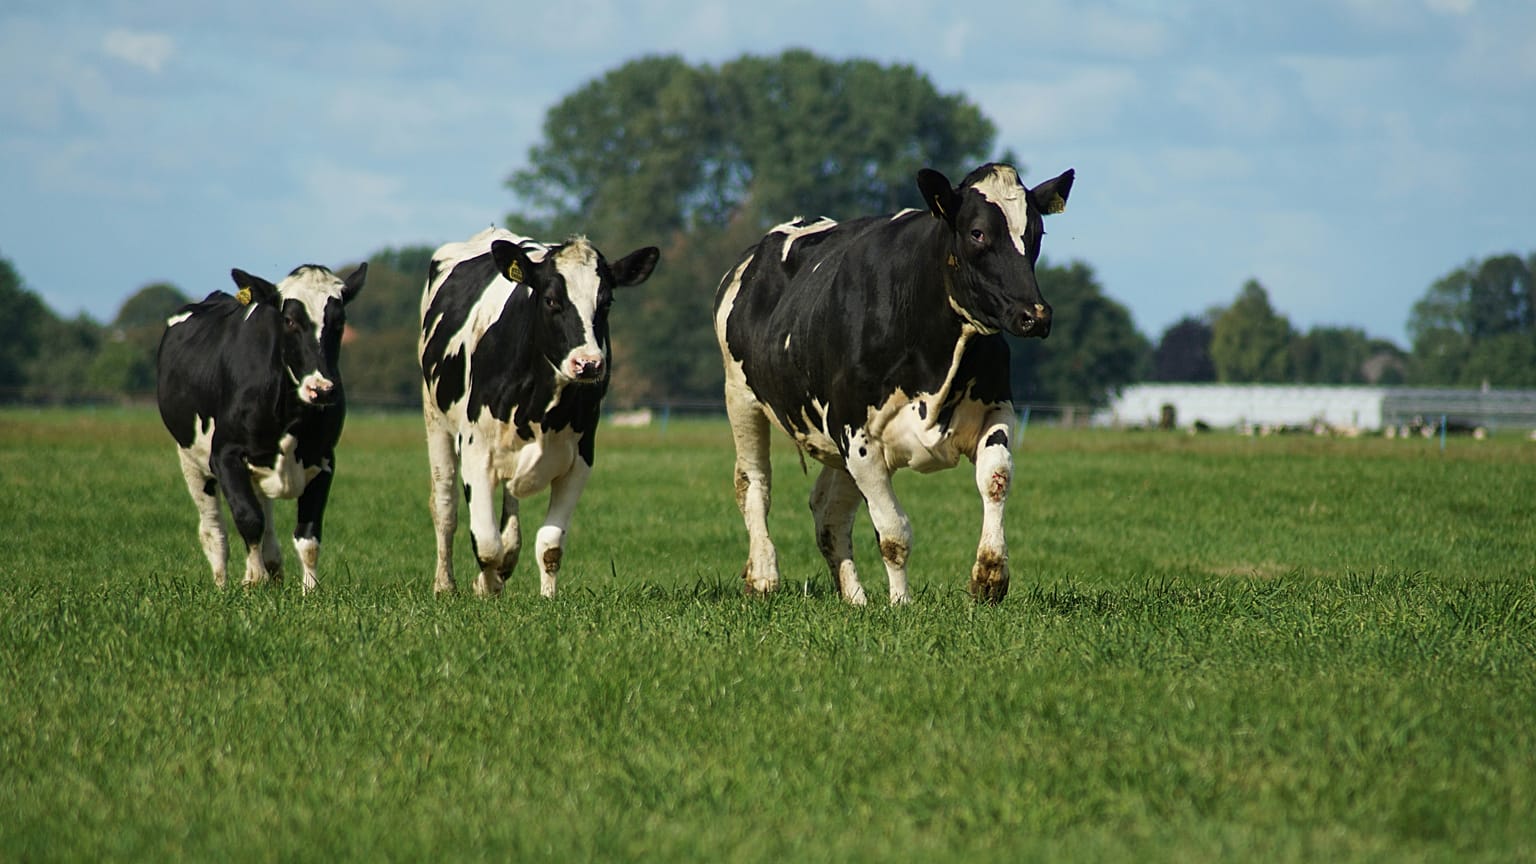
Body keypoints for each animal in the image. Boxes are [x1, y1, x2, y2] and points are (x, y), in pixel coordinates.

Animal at [156, 262, 366, 593]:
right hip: (191, 460)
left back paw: (272, 565)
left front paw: (310, 591)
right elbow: (248, 518)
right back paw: (223, 583)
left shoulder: (324, 459)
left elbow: (308, 535)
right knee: (213, 531)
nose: (321, 389)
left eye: (339, 321)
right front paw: (254, 578)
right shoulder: (225, 455)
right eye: (289, 320)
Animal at [419, 227, 659, 597]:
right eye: (551, 301)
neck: (541, 404)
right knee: (445, 505)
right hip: (435, 420)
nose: (589, 363)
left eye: (606, 302)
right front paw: (486, 586)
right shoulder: (476, 450)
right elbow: (486, 543)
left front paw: (547, 597)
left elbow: (550, 545)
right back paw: (446, 584)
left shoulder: (580, 458)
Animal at [713, 162, 1074, 605]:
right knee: (754, 483)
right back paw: (764, 577)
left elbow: (996, 478)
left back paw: (855, 598)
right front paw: (901, 604)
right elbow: (893, 534)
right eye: (977, 232)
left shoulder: (995, 407)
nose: (1034, 315)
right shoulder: (857, 436)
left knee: (828, 511)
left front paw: (989, 575)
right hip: (741, 397)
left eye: (1037, 233)